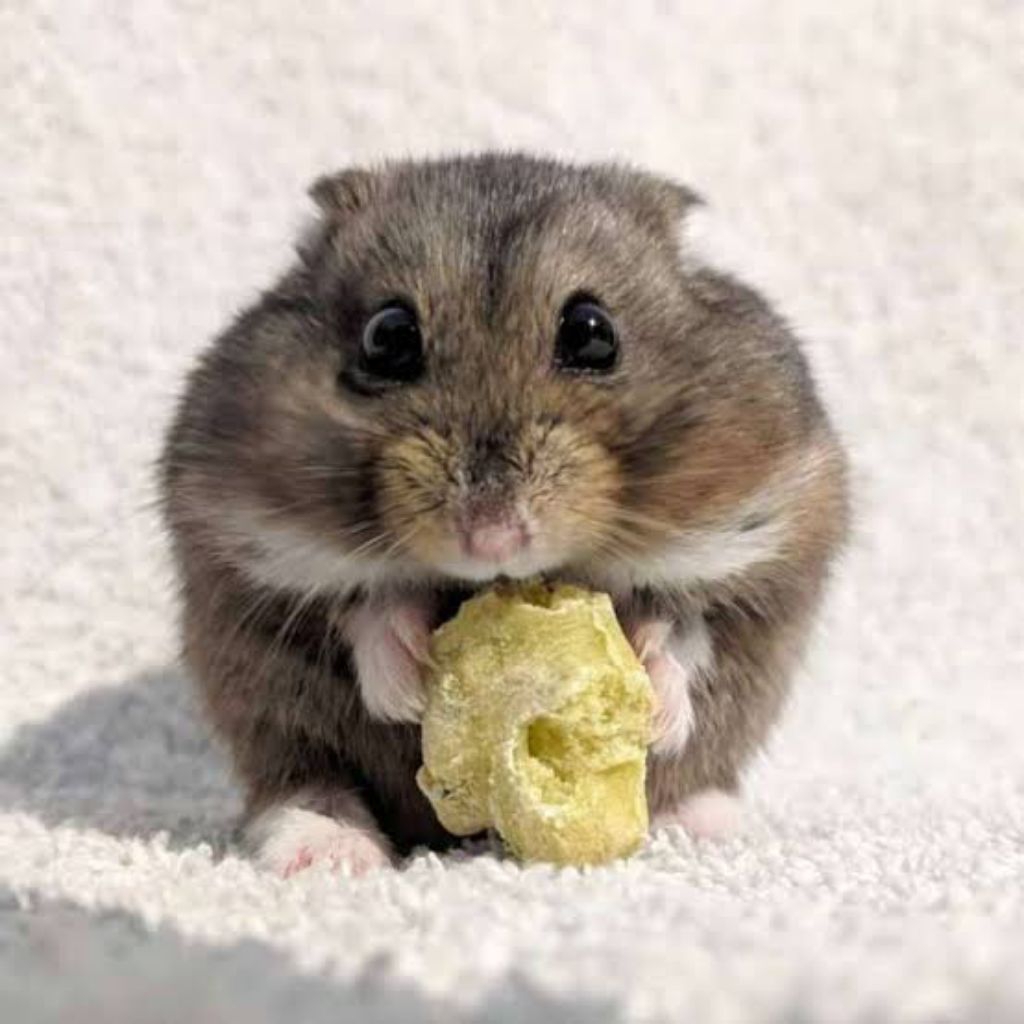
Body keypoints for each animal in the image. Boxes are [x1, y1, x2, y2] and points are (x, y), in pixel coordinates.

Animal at [160, 154, 848, 876]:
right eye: (387, 337)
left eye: (592, 333)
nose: (491, 540)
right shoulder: (239, 541)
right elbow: (361, 609)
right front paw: (408, 688)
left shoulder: (768, 545)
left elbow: (688, 628)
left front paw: (657, 706)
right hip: (269, 711)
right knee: (302, 783)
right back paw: (328, 852)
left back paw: (700, 826)